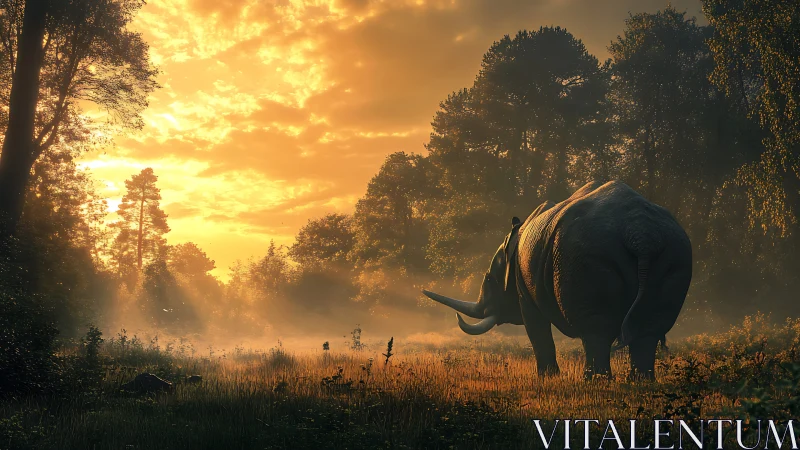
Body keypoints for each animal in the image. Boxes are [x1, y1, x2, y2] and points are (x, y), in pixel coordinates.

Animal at [423, 181, 692, 380]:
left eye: (489, 279)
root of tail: (641, 234)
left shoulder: (524, 290)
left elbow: (536, 328)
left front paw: (546, 378)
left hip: (587, 253)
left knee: (595, 327)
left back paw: (594, 381)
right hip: (675, 251)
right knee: (648, 327)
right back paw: (639, 381)